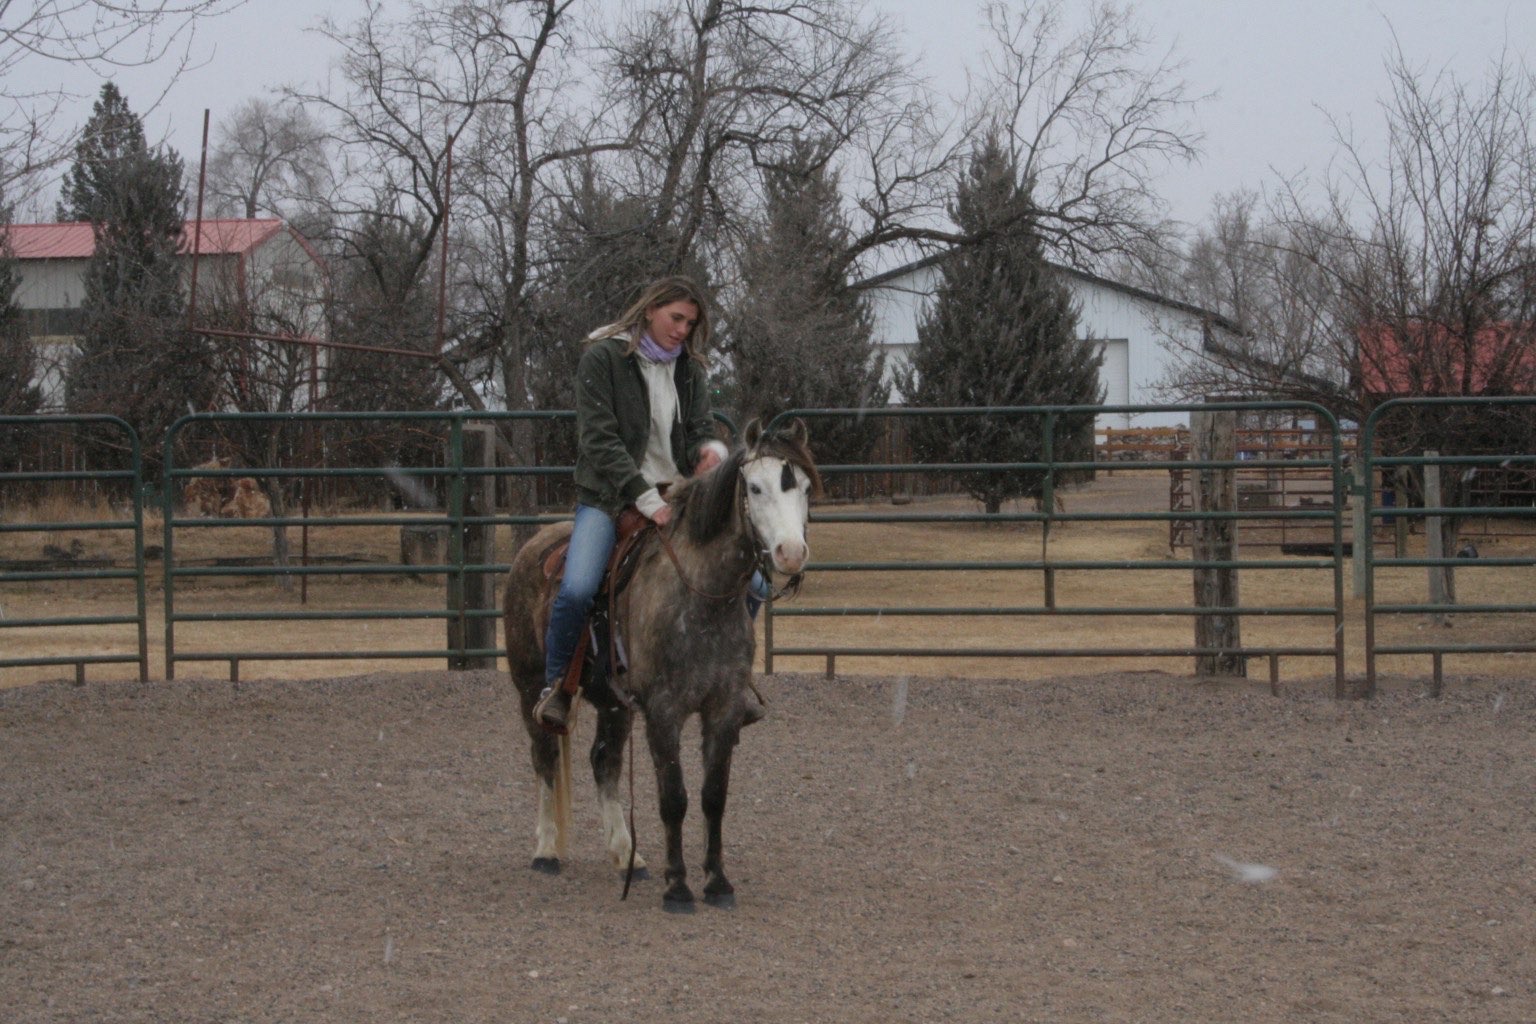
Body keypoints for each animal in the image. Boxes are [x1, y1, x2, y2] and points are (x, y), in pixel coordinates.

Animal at [502, 418, 819, 911]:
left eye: (803, 486)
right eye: (755, 487)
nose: (790, 552)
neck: (700, 596)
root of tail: (532, 547)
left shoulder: (723, 708)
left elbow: (713, 797)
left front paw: (717, 882)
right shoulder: (664, 710)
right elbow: (674, 798)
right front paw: (679, 888)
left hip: (614, 704)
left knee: (604, 763)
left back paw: (627, 856)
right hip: (529, 685)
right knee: (545, 757)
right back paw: (547, 851)